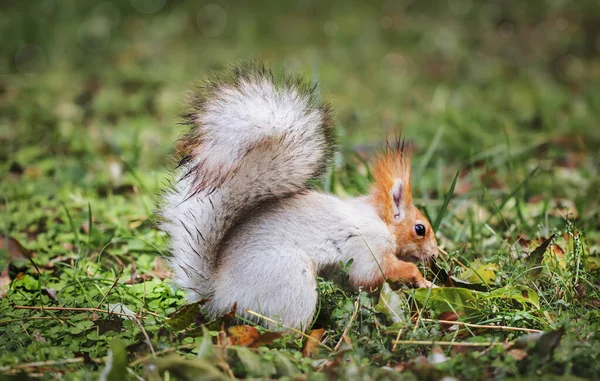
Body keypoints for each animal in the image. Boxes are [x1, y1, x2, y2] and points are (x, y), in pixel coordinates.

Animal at [159, 63, 438, 330]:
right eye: (420, 228)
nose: (435, 254)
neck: (379, 220)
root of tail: (219, 294)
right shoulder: (368, 248)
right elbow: (377, 272)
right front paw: (423, 280)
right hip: (291, 280)